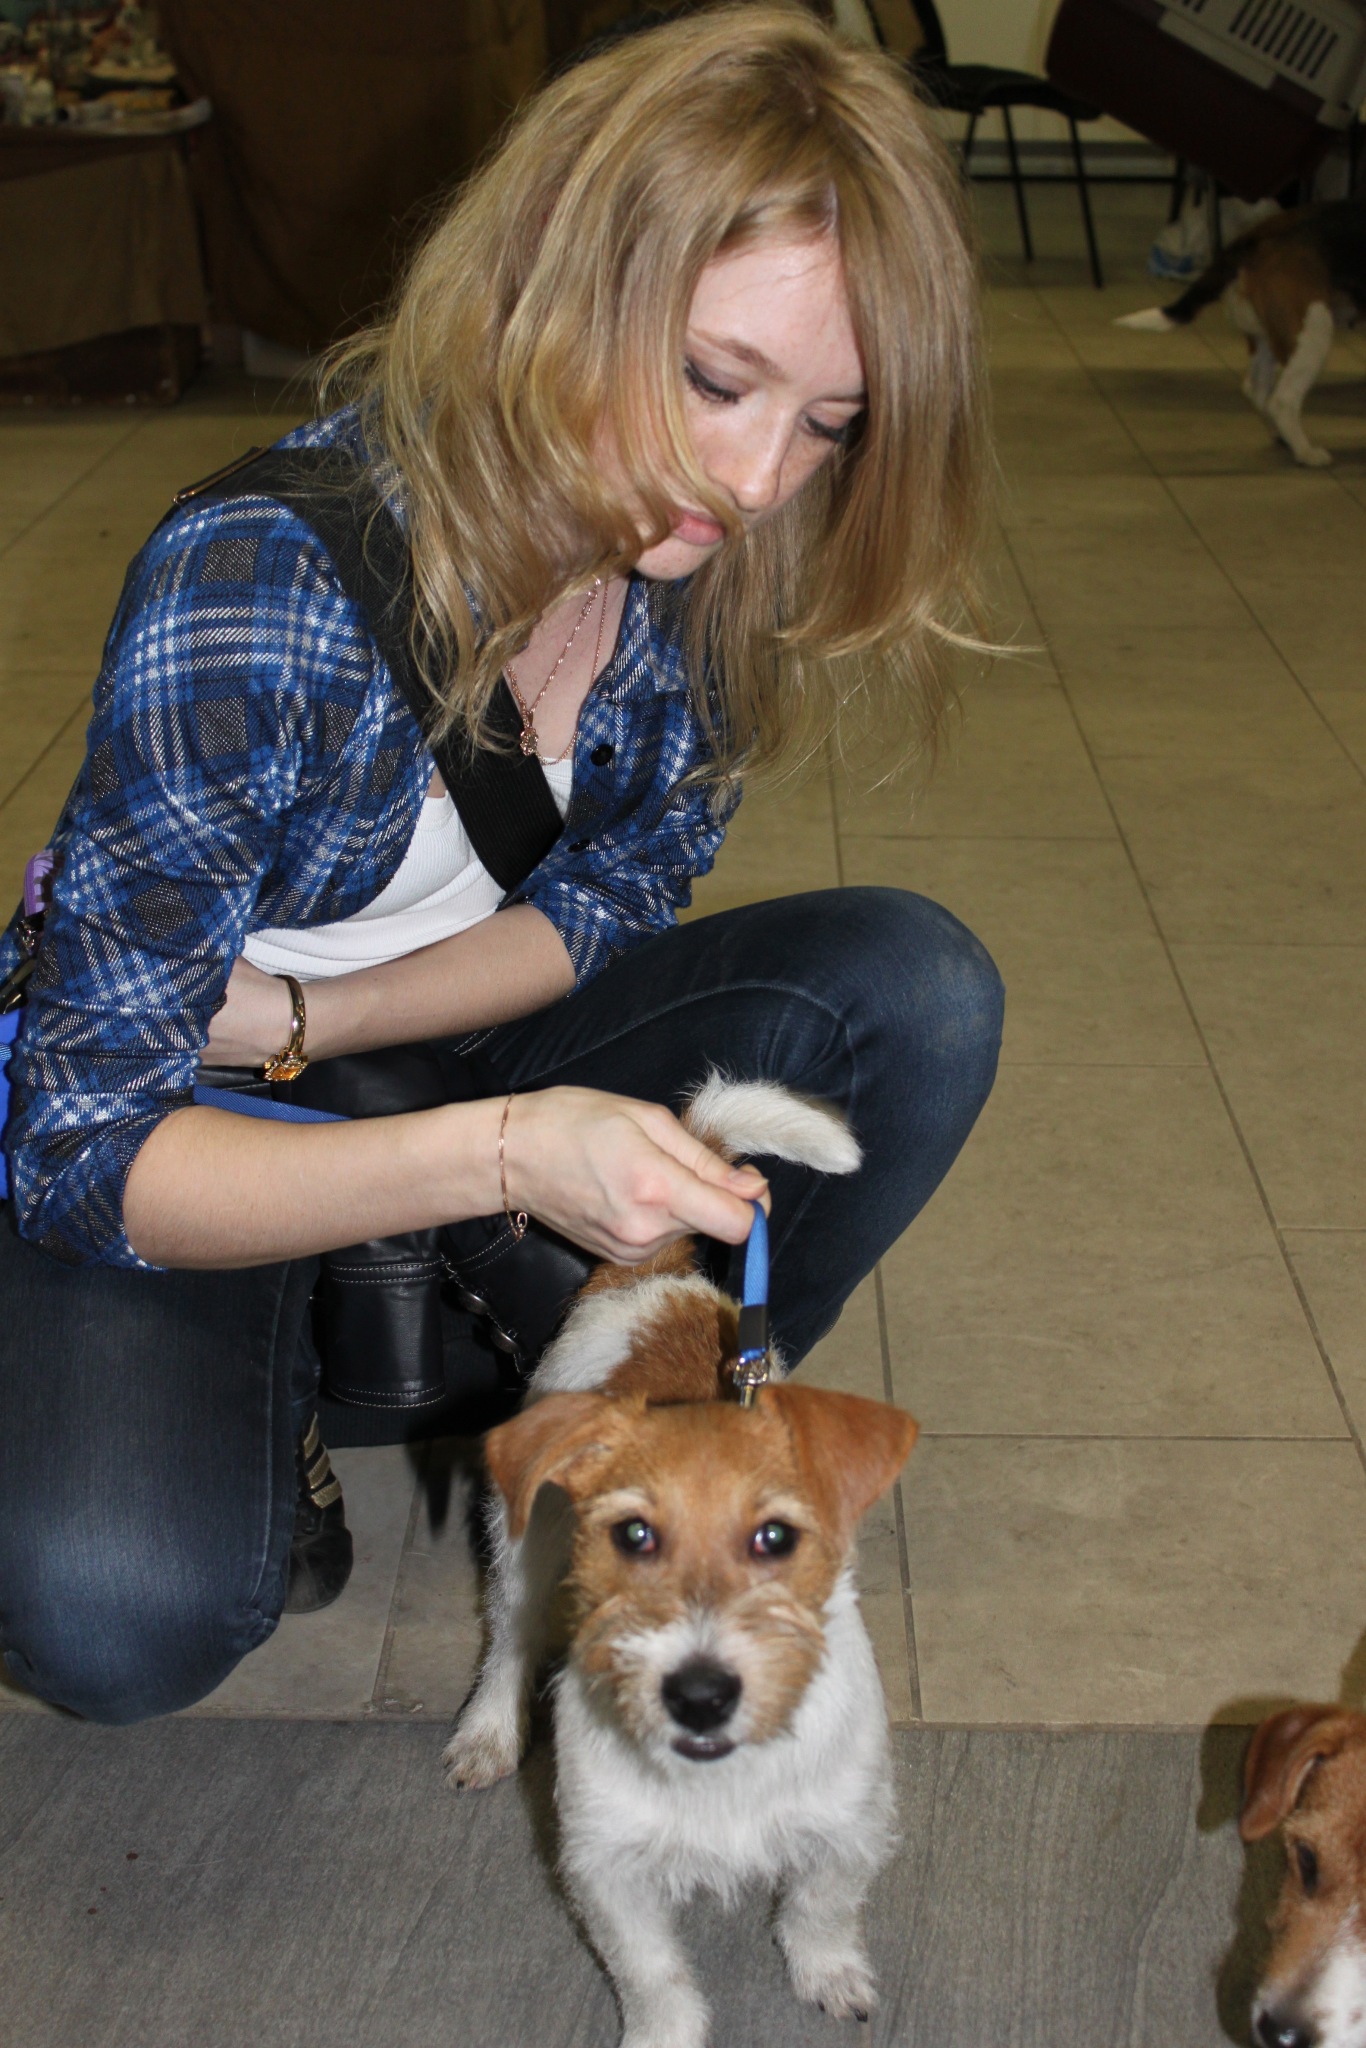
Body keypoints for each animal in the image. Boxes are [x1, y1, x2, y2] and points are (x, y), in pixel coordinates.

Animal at [441, 1076, 919, 2045]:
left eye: (775, 1539)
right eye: (633, 1536)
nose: (700, 1693)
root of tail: (657, 1278)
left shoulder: (846, 1825)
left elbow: (821, 1908)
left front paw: (826, 1973)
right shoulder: (607, 1864)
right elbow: (652, 1972)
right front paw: (664, 2032)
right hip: (525, 1551)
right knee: (509, 1639)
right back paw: (487, 1732)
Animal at [1117, 202, 1366, 468]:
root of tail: (1259, 233)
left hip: (1266, 336)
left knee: (1256, 391)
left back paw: (1283, 438)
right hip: (1313, 332)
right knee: (1282, 400)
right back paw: (1306, 452)